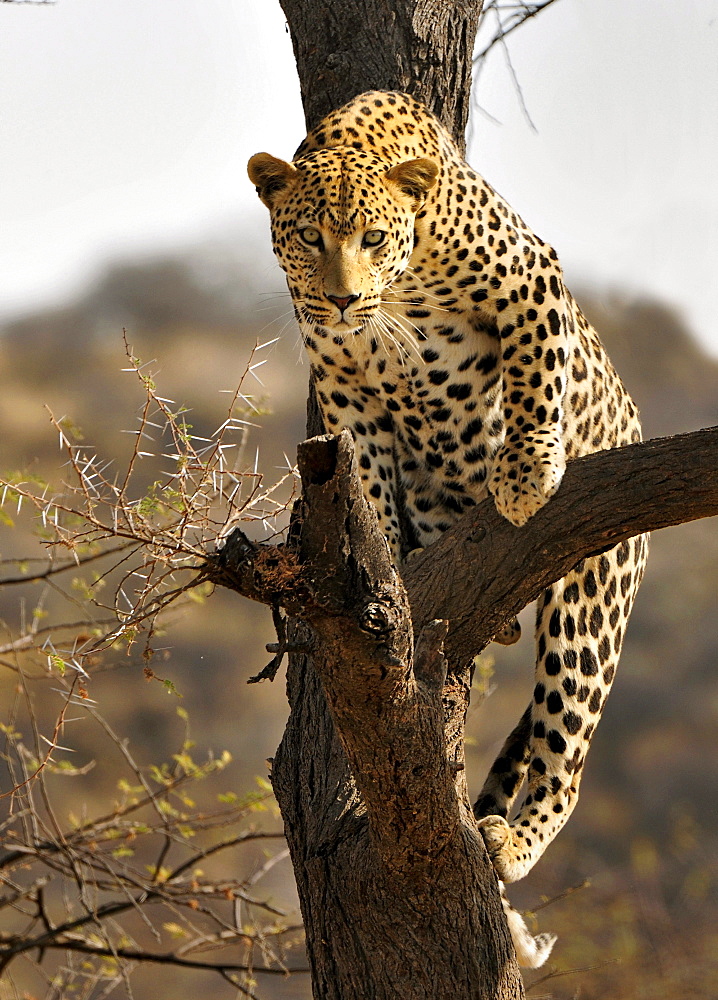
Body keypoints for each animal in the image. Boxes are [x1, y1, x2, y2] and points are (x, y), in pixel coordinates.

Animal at [250, 90, 648, 964]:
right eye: (311, 237)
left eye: (372, 237)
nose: (340, 298)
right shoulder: (344, 379)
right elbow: (363, 472)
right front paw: (380, 555)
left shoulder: (532, 276)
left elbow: (535, 373)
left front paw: (528, 471)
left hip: (590, 600)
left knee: (566, 748)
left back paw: (513, 841)